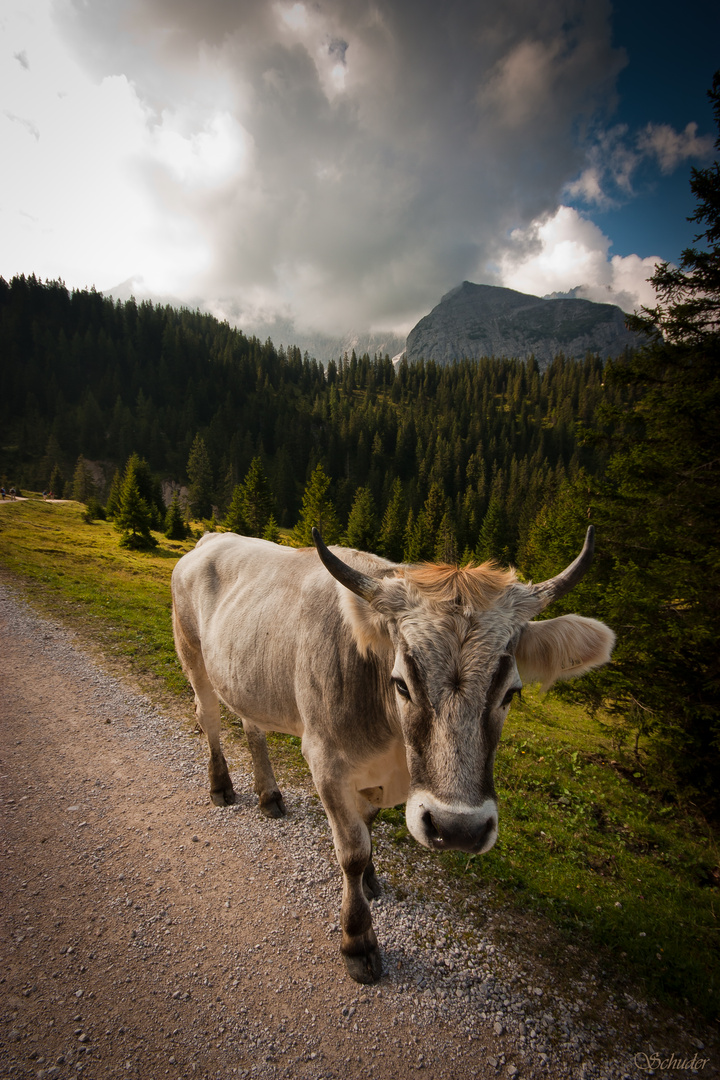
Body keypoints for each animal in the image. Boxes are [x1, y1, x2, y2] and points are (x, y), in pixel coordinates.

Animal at [170, 527, 613, 984]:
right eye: (401, 683)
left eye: (511, 692)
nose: (458, 829)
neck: (393, 749)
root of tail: (212, 538)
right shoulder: (326, 763)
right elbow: (352, 850)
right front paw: (358, 939)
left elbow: (368, 828)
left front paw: (370, 880)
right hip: (191, 653)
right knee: (209, 718)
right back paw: (221, 785)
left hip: (244, 677)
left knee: (252, 727)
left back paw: (269, 795)